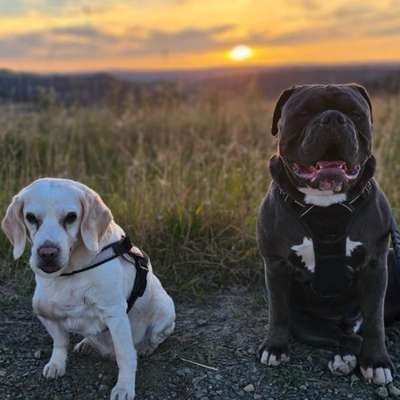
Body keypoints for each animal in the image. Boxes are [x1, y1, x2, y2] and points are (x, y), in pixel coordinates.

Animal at [1, 179, 175, 400]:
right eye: (31, 217)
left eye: (71, 217)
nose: (47, 253)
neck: (69, 274)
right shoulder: (43, 312)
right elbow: (60, 341)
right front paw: (57, 364)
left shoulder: (115, 315)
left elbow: (125, 355)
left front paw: (124, 386)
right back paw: (87, 343)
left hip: (165, 311)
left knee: (156, 338)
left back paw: (145, 347)